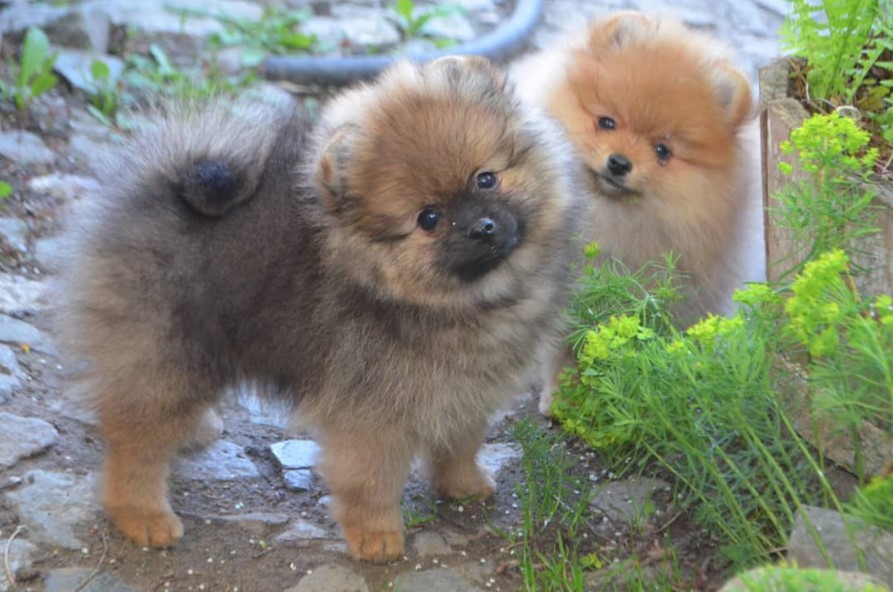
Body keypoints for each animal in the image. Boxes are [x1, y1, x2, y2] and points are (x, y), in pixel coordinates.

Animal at [57, 54, 584, 560]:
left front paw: (464, 485)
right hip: (166, 351)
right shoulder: (373, 412)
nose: (482, 227)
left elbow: (459, 444)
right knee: (135, 443)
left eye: (486, 179)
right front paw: (376, 537)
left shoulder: (464, 391)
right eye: (428, 219)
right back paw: (144, 516)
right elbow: (370, 479)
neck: (467, 300)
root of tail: (163, 184)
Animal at [512, 11, 756, 414]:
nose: (619, 162)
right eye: (607, 122)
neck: (607, 217)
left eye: (662, 151)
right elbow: (564, 349)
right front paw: (562, 395)